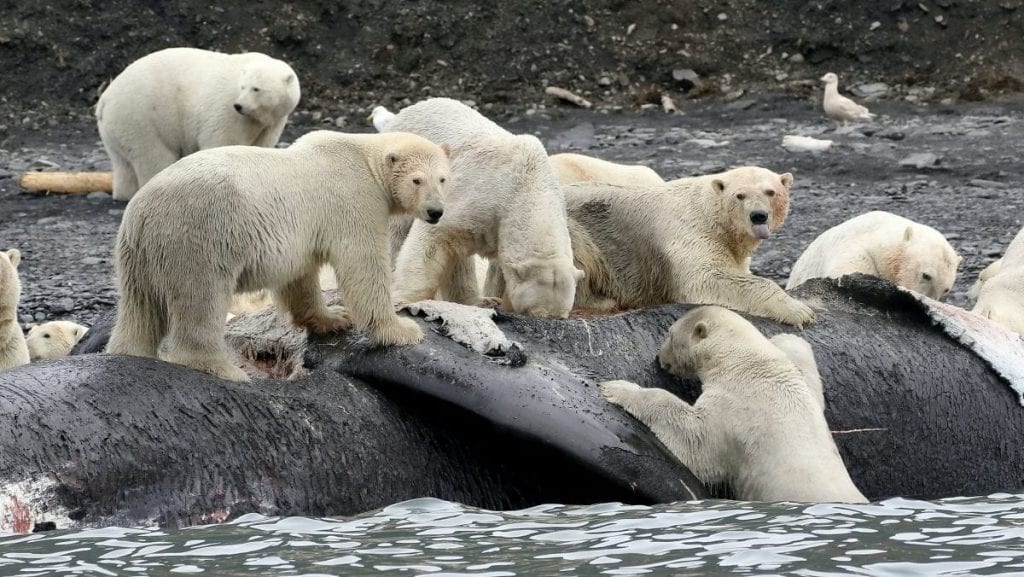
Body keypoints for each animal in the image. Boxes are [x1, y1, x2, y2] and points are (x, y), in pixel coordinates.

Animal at [97, 47, 301, 201]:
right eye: (243, 87)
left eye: (256, 89)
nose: (238, 105)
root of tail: (104, 99)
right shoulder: (226, 111)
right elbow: (222, 142)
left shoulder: (271, 122)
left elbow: (260, 146)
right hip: (142, 116)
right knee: (154, 156)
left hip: (117, 125)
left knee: (123, 163)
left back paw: (124, 193)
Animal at [106, 130, 451, 382]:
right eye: (417, 180)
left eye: (443, 178)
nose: (436, 211)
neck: (363, 158)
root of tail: (141, 212)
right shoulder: (353, 201)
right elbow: (363, 266)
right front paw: (403, 331)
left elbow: (300, 276)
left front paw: (333, 318)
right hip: (198, 236)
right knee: (201, 298)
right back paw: (224, 370)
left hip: (138, 255)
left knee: (140, 308)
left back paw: (130, 352)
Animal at [383, 98, 583, 318]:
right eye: (535, 313)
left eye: (562, 316)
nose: (550, 318)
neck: (529, 184)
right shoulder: (479, 195)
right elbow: (433, 238)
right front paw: (402, 299)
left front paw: (493, 298)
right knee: (396, 233)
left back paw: (478, 301)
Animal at [484, 166, 813, 326]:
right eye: (740, 195)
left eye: (771, 192)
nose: (758, 216)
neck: (708, 210)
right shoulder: (689, 233)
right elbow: (707, 278)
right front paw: (799, 310)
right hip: (563, 228)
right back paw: (601, 301)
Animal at [601, 305, 867, 503]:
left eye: (669, 334)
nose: (659, 358)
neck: (743, 362)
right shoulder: (799, 385)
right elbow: (803, 367)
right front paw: (786, 336)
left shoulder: (735, 407)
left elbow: (696, 440)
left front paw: (616, 388)